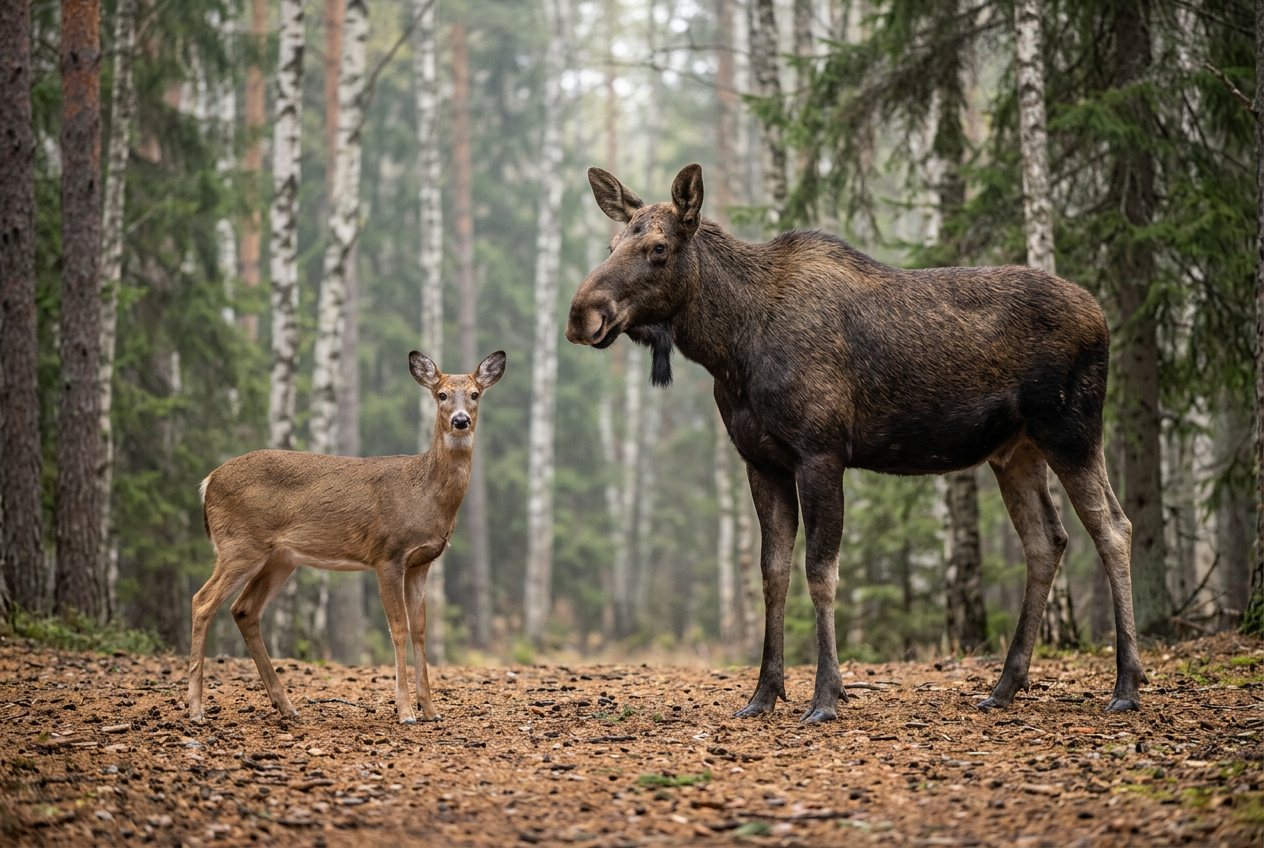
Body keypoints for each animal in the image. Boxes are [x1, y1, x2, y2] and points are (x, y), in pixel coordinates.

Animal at [187, 350, 506, 724]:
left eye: (474, 394)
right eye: (441, 395)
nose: (460, 421)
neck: (425, 493)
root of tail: (208, 481)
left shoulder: (422, 562)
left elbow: (420, 630)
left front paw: (431, 710)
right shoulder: (388, 554)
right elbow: (398, 627)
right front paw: (405, 710)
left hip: (280, 558)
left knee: (244, 610)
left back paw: (286, 705)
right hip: (240, 544)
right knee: (202, 601)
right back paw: (195, 709)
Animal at [566, 164, 1145, 724]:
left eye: (658, 248)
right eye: (612, 243)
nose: (580, 314)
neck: (730, 348)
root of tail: (1100, 315)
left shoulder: (821, 453)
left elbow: (821, 573)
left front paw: (826, 696)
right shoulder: (761, 461)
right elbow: (772, 573)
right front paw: (763, 694)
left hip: (1072, 430)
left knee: (1113, 528)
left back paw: (1126, 685)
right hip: (1014, 450)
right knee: (1047, 541)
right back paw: (1004, 687)